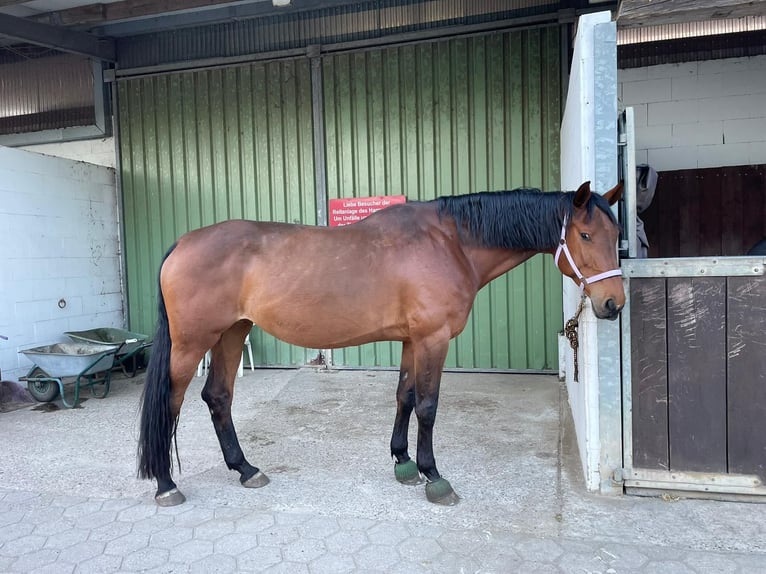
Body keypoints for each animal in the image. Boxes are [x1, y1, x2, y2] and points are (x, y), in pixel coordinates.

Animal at [138, 180, 624, 507]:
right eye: (584, 236)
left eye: (616, 236)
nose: (612, 304)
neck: (450, 242)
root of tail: (182, 243)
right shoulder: (433, 339)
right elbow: (427, 405)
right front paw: (433, 476)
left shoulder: (413, 339)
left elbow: (404, 396)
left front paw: (402, 462)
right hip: (192, 343)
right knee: (172, 402)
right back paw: (166, 484)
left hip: (232, 333)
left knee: (218, 397)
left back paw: (246, 469)